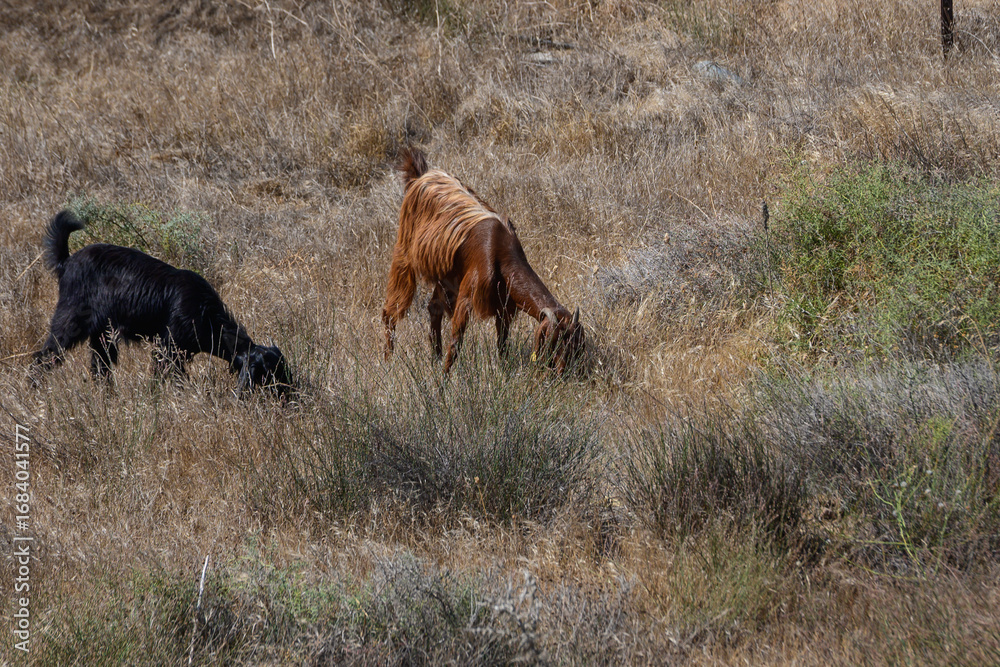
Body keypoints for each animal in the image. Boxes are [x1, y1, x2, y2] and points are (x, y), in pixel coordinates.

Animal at [31, 210, 293, 396]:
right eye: (268, 373)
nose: (291, 393)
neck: (206, 314)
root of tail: (67, 262)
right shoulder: (168, 350)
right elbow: (166, 378)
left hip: (102, 334)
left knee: (100, 367)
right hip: (70, 320)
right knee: (45, 356)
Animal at [381, 148, 585, 373]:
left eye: (576, 344)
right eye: (553, 342)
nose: (563, 371)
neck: (502, 254)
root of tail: (421, 176)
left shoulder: (503, 306)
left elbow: (502, 343)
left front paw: (503, 371)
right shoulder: (469, 293)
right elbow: (457, 340)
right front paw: (444, 379)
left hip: (446, 277)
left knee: (434, 307)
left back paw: (435, 356)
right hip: (404, 254)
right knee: (391, 310)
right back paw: (388, 361)